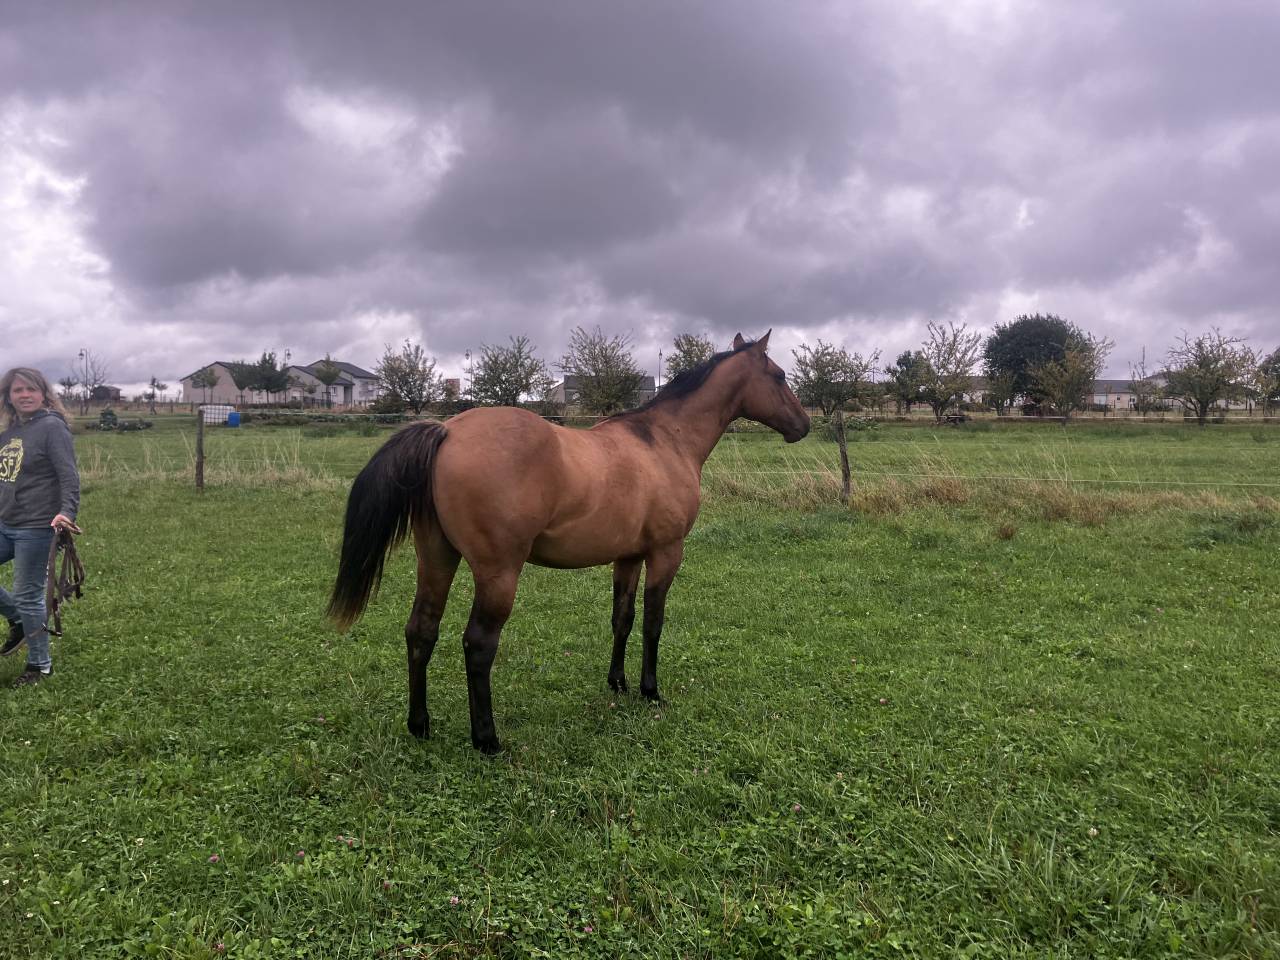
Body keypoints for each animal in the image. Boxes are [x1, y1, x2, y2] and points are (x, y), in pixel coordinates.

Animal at [327, 331, 810, 753]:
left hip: (436, 559)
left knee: (421, 631)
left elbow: (622, 618)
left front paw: (618, 682)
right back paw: (487, 739)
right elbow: (653, 622)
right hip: (498, 574)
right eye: (780, 375)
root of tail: (447, 432)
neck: (663, 441)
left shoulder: (628, 557)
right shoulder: (665, 553)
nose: (803, 426)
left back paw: (420, 725)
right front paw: (650, 691)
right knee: (478, 644)